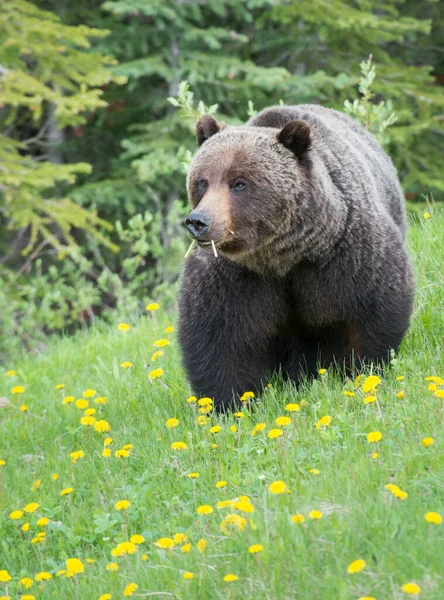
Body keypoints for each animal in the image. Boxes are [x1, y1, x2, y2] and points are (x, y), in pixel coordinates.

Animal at [179, 105, 414, 410]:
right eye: (202, 182)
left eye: (239, 183)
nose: (199, 221)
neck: (283, 257)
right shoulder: (234, 275)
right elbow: (219, 337)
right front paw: (230, 403)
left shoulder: (346, 254)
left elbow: (373, 308)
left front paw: (363, 371)